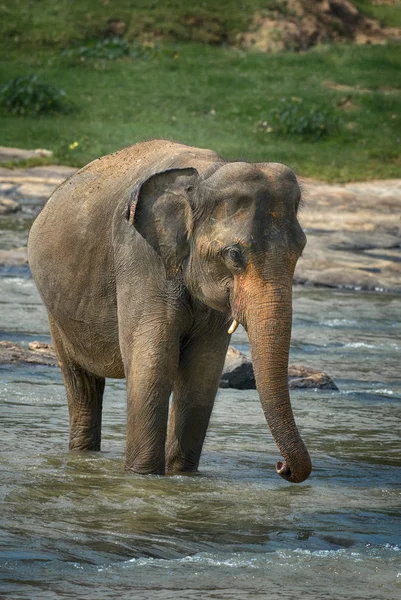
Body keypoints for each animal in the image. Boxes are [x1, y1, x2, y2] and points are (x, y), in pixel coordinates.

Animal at [28, 139, 310, 482]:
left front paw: (182, 477)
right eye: (234, 254)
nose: (281, 466)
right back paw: (82, 456)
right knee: (80, 383)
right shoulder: (139, 256)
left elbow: (202, 371)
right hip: (56, 311)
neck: (206, 176)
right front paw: (143, 478)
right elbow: (153, 363)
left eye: (300, 251)